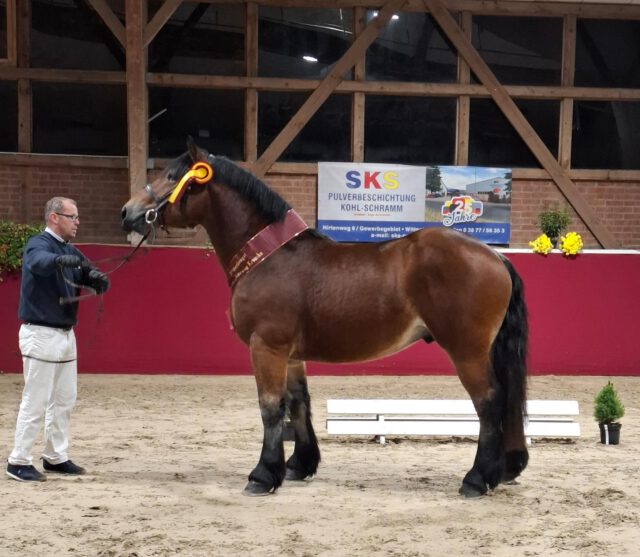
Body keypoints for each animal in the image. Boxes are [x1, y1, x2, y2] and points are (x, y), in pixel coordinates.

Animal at [121, 138, 529, 498]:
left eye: (173, 176)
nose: (128, 212)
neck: (270, 257)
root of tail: (495, 256)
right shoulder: (290, 355)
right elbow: (298, 403)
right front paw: (298, 465)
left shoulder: (266, 347)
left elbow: (270, 408)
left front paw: (262, 475)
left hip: (466, 351)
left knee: (489, 403)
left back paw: (476, 479)